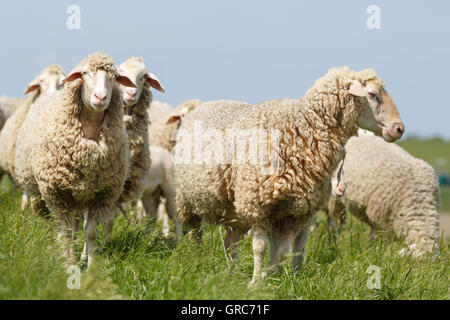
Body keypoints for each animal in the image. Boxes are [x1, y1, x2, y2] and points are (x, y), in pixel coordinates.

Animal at [14, 52, 136, 264]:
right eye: (85, 74)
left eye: (114, 77)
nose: (100, 97)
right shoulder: (58, 193)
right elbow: (67, 232)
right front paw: (68, 263)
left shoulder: (100, 195)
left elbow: (91, 234)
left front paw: (91, 265)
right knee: (65, 226)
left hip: (82, 194)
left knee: (78, 223)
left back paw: (81, 254)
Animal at [173, 67, 404, 282]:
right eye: (372, 94)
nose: (399, 128)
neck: (305, 127)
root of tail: (210, 103)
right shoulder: (257, 204)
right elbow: (260, 248)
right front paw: (255, 283)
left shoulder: (294, 213)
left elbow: (282, 253)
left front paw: (271, 279)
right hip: (187, 200)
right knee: (195, 233)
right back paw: (195, 258)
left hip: (234, 210)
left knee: (231, 243)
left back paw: (232, 273)